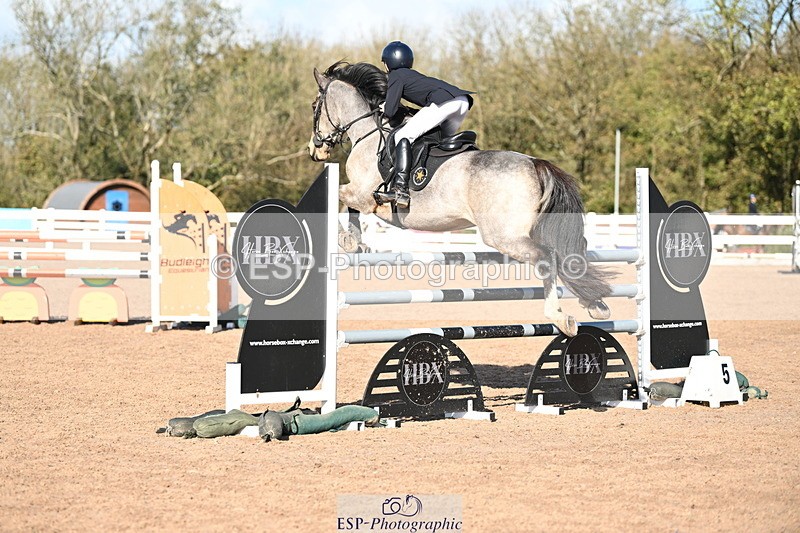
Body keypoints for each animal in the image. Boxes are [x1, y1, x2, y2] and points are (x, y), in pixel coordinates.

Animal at [307, 61, 612, 336]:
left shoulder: (364, 193)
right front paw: (355, 242)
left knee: (547, 257)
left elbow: (342, 198)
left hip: (503, 236)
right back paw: (595, 304)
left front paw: (347, 239)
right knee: (569, 257)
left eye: (314, 107)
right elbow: (348, 207)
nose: (315, 150)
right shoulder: (362, 195)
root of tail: (534, 163)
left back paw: (560, 317)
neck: (369, 133)